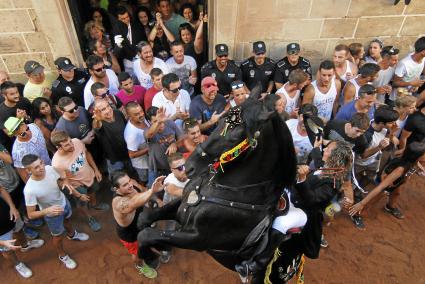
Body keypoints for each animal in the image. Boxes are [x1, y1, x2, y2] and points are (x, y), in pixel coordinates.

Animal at [137, 90, 296, 280]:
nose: (189, 166)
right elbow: (145, 220)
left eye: (235, 133)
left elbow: (145, 235)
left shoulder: (197, 239)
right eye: (219, 122)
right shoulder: (181, 205)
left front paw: (151, 257)